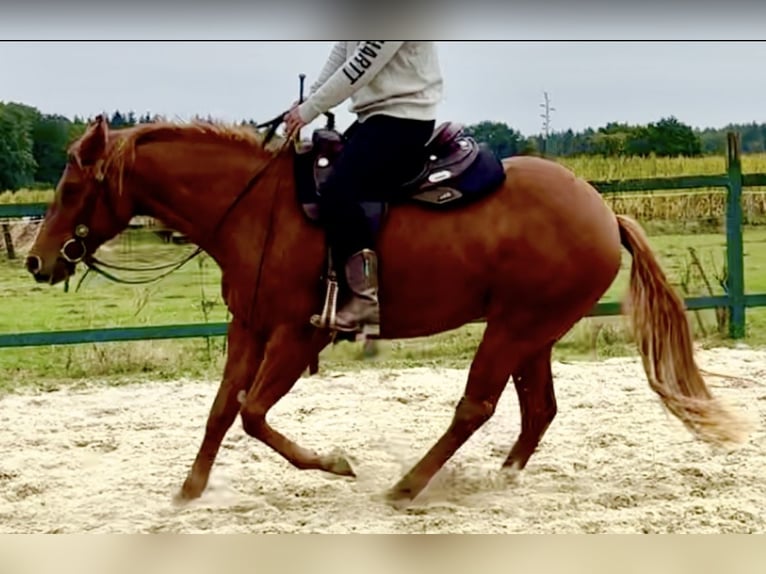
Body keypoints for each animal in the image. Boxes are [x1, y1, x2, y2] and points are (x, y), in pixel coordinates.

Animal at [25, 114, 749, 505]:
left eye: (71, 188)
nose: (36, 260)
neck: (256, 208)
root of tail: (604, 211)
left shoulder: (297, 335)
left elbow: (254, 414)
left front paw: (335, 463)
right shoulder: (247, 327)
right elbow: (222, 409)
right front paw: (189, 491)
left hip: (514, 327)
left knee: (475, 406)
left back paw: (407, 486)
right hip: (532, 331)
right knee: (538, 409)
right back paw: (498, 479)